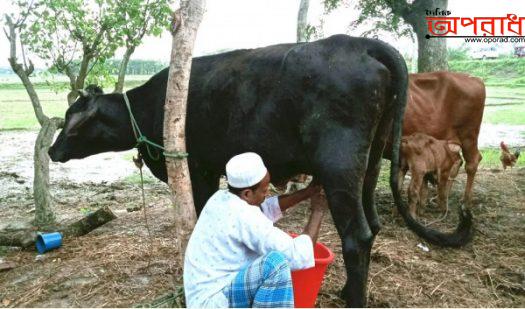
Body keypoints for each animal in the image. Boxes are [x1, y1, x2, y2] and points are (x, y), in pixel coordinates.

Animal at [48, 34, 470, 306]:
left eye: (72, 122)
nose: (52, 150)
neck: (152, 106)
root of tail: (360, 43)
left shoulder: (199, 169)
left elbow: (199, 218)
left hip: (340, 163)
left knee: (357, 234)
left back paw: (354, 299)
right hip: (369, 161)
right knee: (374, 224)